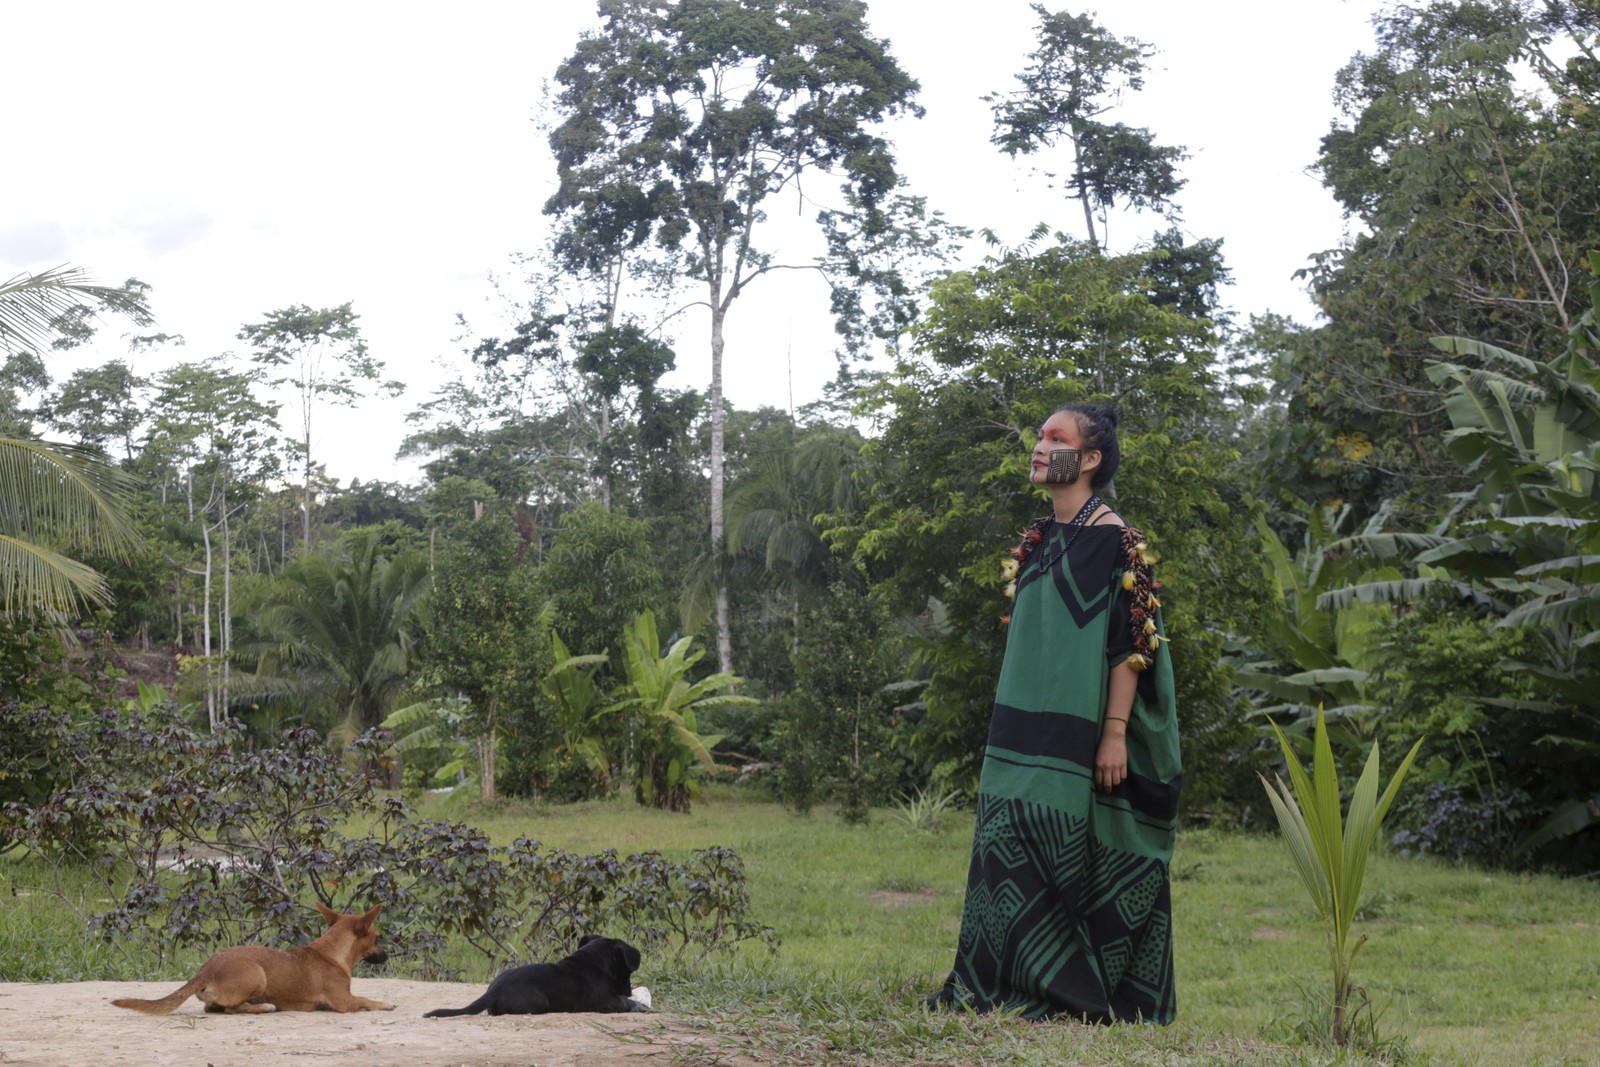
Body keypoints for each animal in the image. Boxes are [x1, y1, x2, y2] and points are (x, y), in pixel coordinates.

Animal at [111, 902, 395, 1017]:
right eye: (378, 938)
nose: (387, 956)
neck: (330, 952)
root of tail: (205, 970)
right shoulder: (345, 1002)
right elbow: (367, 1000)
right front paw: (386, 1003)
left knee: (215, 1008)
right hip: (257, 974)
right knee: (232, 1009)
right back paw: (264, 1007)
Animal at [432, 934, 649, 1017]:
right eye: (627, 971)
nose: (629, 990)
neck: (594, 961)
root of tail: (492, 991)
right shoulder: (609, 1001)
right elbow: (625, 1002)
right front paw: (638, 1005)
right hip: (539, 1003)